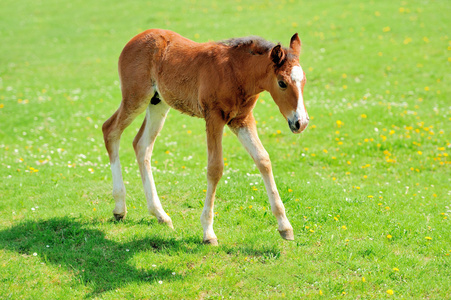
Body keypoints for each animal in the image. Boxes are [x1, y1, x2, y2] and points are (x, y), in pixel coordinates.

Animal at [103, 29, 308, 245]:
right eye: (282, 83)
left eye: (303, 81)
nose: (301, 122)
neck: (236, 71)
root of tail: (136, 38)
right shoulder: (214, 118)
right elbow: (215, 168)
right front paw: (208, 232)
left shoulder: (242, 120)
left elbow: (263, 160)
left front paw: (285, 226)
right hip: (135, 97)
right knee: (110, 130)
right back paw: (120, 207)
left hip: (158, 102)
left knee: (141, 145)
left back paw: (160, 214)